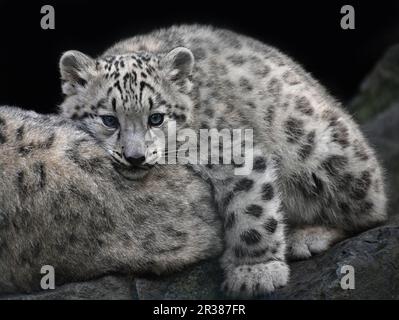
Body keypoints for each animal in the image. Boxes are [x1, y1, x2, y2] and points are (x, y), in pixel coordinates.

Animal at [59, 24, 388, 298]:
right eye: (109, 120)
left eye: (156, 118)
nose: (135, 156)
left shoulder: (234, 149)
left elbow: (253, 209)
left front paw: (256, 274)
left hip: (319, 149)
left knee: (370, 212)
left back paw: (307, 236)